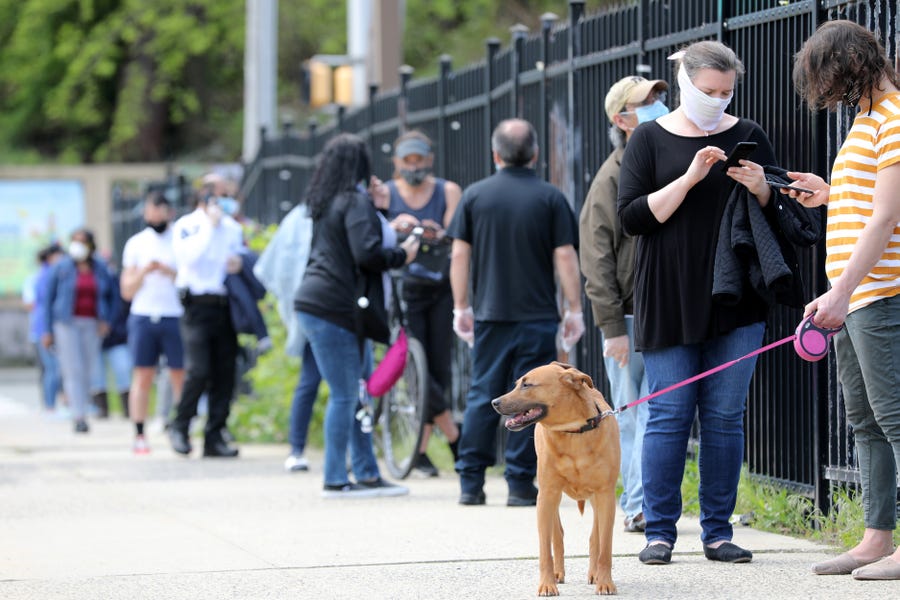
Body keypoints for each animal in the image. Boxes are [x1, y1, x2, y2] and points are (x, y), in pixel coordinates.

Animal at [492, 360, 620, 596]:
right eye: (517, 383)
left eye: (527, 385)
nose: (494, 402)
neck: (573, 431)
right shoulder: (546, 495)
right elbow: (545, 549)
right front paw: (547, 583)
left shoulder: (606, 495)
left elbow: (605, 546)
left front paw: (605, 581)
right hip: (552, 498)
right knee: (557, 534)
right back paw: (558, 572)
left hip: (596, 499)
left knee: (595, 536)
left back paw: (594, 573)